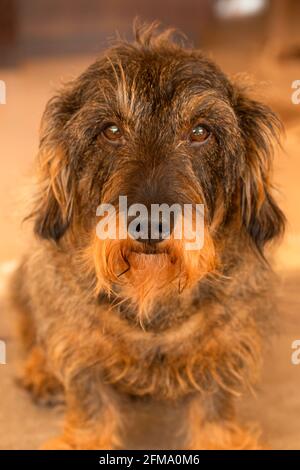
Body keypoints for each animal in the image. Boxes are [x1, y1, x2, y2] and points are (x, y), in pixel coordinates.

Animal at [9, 23, 286, 450]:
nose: (150, 224)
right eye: (111, 130)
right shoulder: (76, 338)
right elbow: (88, 396)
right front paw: (84, 437)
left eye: (201, 131)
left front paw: (219, 437)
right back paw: (40, 372)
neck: (153, 297)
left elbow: (216, 401)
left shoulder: (227, 341)